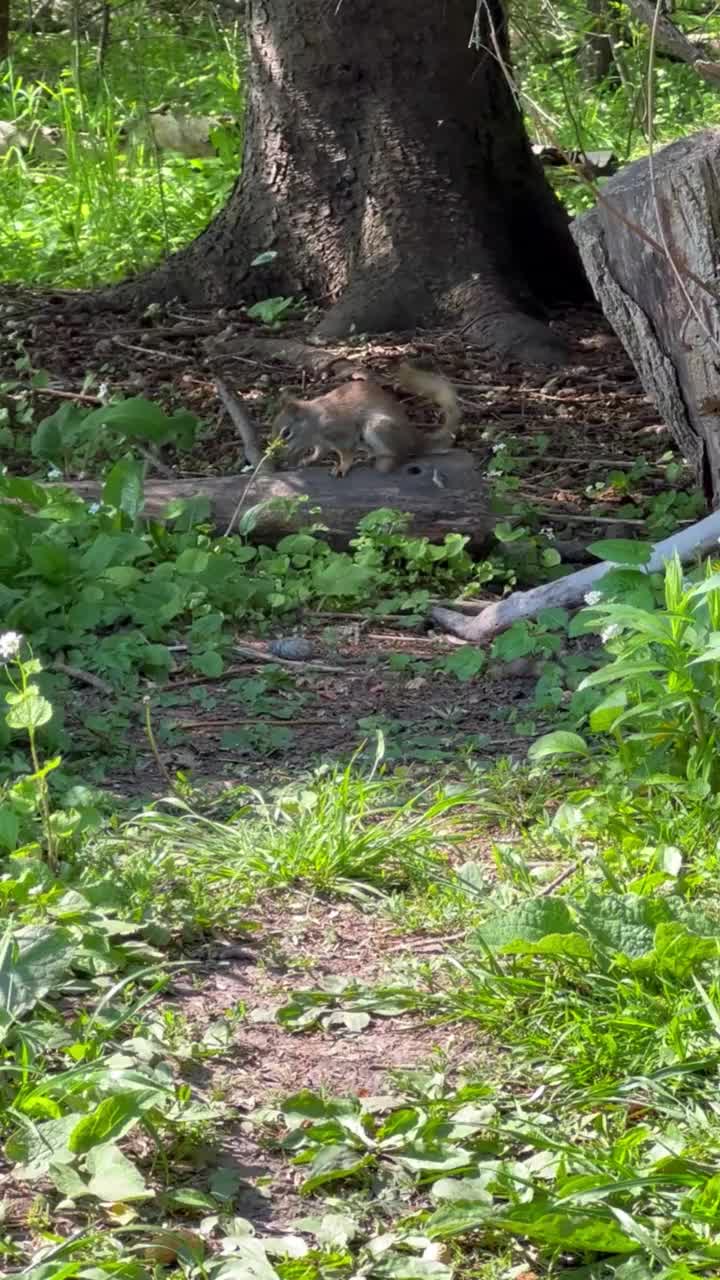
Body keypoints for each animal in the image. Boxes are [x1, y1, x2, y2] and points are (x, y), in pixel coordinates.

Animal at [271, 363, 456, 478]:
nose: (277, 453)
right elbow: (319, 453)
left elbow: (346, 453)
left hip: (376, 427)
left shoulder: (341, 433)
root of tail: (415, 439)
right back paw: (367, 458)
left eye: (286, 433)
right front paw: (308, 460)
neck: (314, 422)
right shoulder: (321, 444)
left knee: (402, 455)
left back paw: (385, 463)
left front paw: (342, 467)